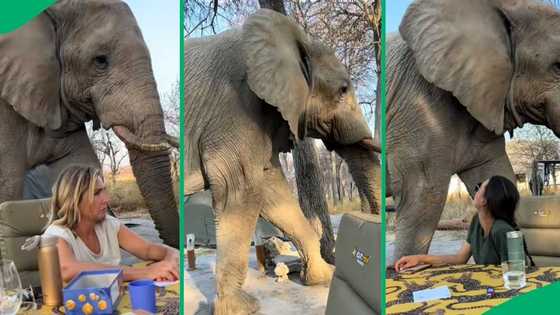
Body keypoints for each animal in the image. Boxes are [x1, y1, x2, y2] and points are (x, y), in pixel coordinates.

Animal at [186, 9, 378, 315]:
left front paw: (321, 277)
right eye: (343, 90)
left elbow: (273, 192)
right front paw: (241, 308)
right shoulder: (234, 110)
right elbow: (242, 192)